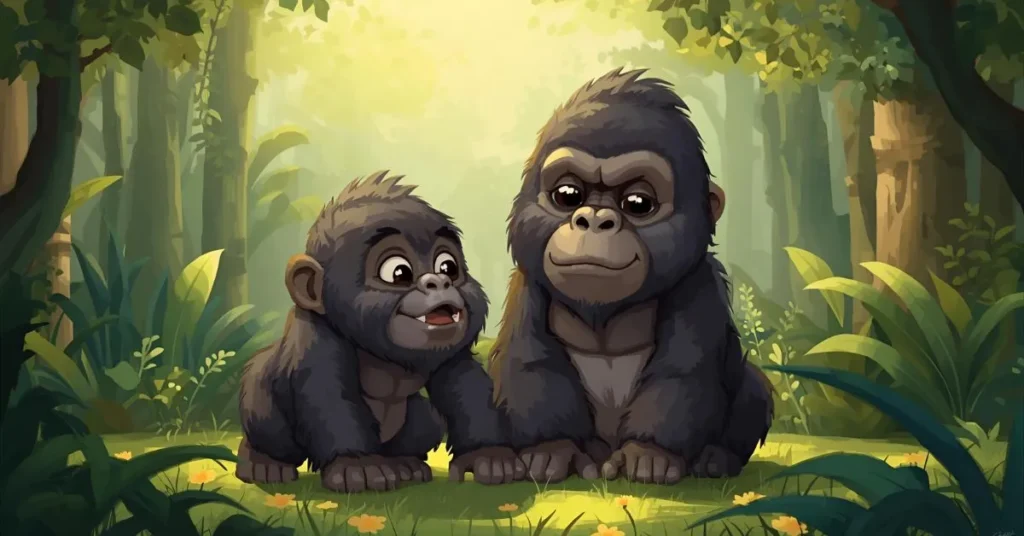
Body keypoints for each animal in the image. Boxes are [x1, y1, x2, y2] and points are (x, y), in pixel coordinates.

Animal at [236, 171, 525, 493]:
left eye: (448, 266)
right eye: (398, 273)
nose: (439, 282)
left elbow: (464, 385)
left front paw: (488, 455)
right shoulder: (314, 338)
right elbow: (328, 397)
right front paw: (357, 465)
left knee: (426, 421)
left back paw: (405, 464)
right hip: (260, 408)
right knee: (268, 423)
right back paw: (262, 461)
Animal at [489, 68, 774, 485]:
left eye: (638, 203)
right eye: (568, 195)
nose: (593, 220)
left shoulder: (700, 284)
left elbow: (683, 372)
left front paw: (650, 453)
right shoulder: (527, 285)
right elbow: (531, 360)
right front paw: (551, 448)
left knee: (754, 386)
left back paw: (717, 458)